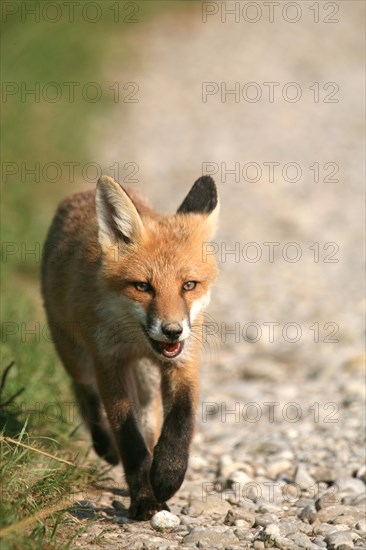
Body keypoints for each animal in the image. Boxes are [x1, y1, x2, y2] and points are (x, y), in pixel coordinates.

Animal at [40, 175, 217, 520]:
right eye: (143, 286)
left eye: (189, 285)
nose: (172, 331)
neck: (136, 342)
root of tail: (80, 195)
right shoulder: (109, 364)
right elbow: (129, 439)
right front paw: (145, 500)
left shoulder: (184, 361)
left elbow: (180, 421)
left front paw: (166, 475)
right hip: (75, 356)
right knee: (84, 392)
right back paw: (105, 447)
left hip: (147, 381)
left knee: (150, 422)